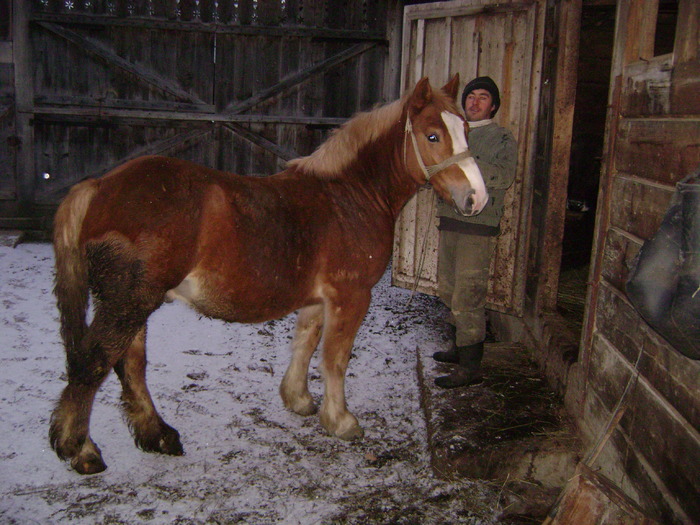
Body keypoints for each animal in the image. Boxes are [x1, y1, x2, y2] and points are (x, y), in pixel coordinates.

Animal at [49, 74, 486, 474]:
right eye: (432, 136)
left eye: (465, 130)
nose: (476, 199)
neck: (350, 196)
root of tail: (99, 186)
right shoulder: (351, 295)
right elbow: (336, 358)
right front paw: (341, 421)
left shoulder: (318, 298)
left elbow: (305, 344)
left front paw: (299, 400)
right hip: (130, 300)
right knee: (94, 362)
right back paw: (81, 450)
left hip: (133, 302)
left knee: (130, 365)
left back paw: (158, 436)